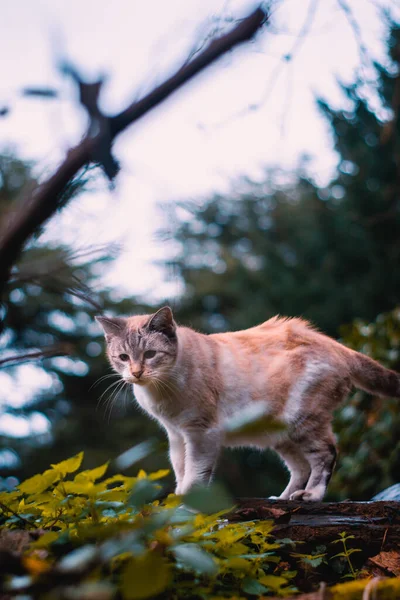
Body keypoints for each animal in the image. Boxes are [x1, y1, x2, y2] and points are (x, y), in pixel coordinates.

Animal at [95, 308, 398, 500]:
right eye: (123, 357)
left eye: (150, 354)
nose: (136, 373)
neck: (160, 392)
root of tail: (336, 345)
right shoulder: (176, 435)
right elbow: (180, 469)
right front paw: (179, 497)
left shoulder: (201, 433)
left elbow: (195, 473)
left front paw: (188, 501)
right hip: (281, 434)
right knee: (300, 467)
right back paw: (282, 498)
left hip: (303, 423)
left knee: (325, 455)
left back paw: (310, 496)